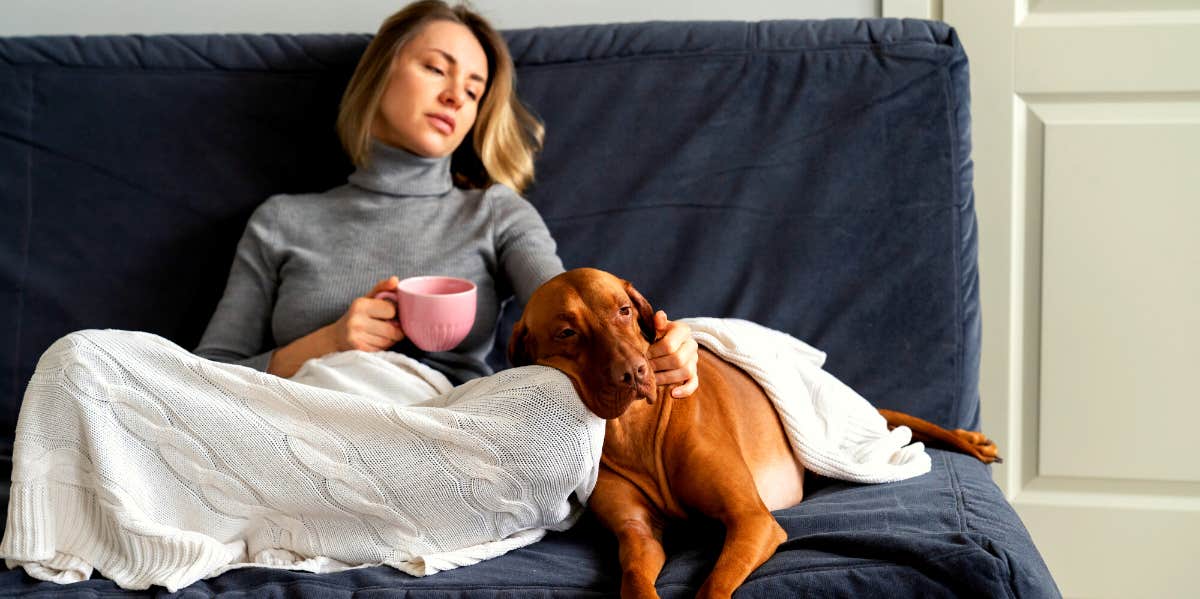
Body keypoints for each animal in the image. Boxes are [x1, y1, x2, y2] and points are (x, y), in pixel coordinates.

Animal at [511, 270, 998, 597]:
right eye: (567, 332)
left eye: (624, 310)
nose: (634, 373)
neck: (636, 431)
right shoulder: (638, 535)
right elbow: (633, 576)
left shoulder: (752, 520)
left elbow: (713, 587)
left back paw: (972, 441)